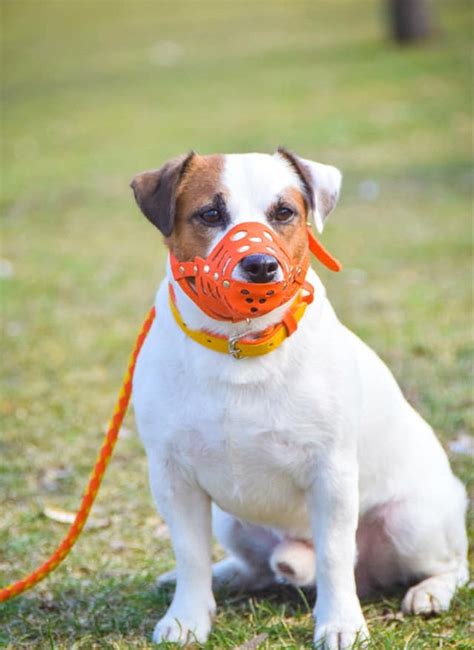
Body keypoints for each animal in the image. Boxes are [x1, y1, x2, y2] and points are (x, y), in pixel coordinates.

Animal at [129, 149, 466, 644]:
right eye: (210, 214)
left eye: (284, 212)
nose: (260, 265)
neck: (242, 343)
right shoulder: (173, 475)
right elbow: (190, 553)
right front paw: (187, 616)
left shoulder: (332, 474)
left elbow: (334, 555)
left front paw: (341, 623)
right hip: (232, 522)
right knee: (255, 569)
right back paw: (224, 574)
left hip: (410, 522)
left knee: (453, 566)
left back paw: (430, 592)